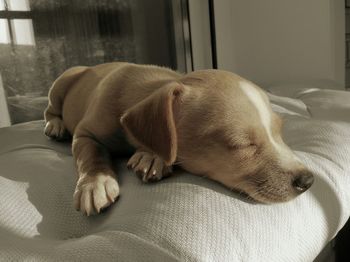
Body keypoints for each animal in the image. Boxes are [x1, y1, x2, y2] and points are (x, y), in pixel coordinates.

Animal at [43, 62, 314, 216]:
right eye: (241, 144)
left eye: (279, 131)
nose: (309, 180)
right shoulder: (85, 133)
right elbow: (91, 153)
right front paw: (95, 182)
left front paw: (151, 157)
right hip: (61, 85)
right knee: (50, 109)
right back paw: (55, 124)